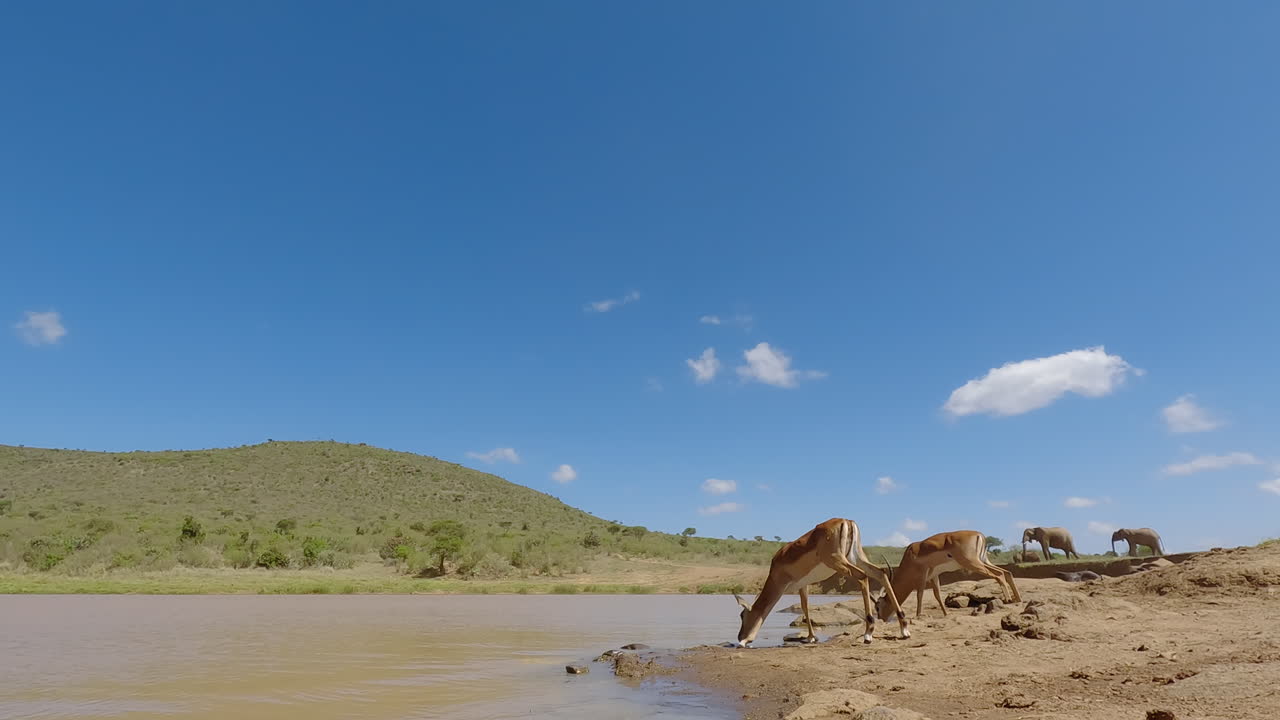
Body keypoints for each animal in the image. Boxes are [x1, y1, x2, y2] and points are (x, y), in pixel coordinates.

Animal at [732, 518, 909, 646]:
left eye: (742, 615)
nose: (740, 637)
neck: (777, 567)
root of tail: (846, 521)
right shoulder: (803, 584)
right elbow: (805, 606)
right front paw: (811, 637)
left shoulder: (786, 584)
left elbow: (804, 606)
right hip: (857, 558)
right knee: (881, 574)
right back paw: (904, 629)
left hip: (839, 561)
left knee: (862, 576)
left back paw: (868, 633)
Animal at [874, 530, 1021, 621]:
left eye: (877, 607)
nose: (882, 619)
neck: (911, 555)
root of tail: (979, 535)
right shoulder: (934, 575)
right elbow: (937, 594)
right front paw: (946, 613)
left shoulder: (922, 574)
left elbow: (920, 594)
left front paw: (918, 615)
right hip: (983, 561)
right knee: (1007, 572)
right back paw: (1017, 599)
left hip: (973, 563)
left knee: (999, 574)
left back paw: (1008, 599)